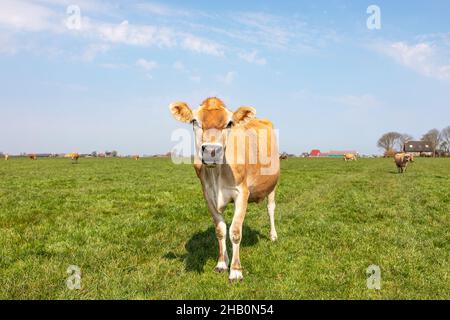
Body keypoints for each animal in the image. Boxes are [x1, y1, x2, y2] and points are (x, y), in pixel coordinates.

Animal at [170, 96, 280, 282]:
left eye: (229, 123)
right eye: (194, 121)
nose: (212, 151)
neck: (217, 174)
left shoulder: (242, 193)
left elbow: (235, 231)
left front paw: (235, 271)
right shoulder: (208, 195)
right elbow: (221, 230)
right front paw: (222, 263)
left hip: (272, 185)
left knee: (271, 209)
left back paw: (273, 235)